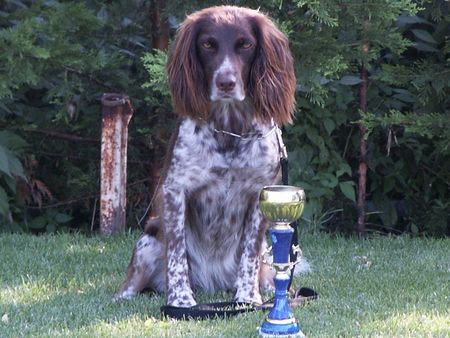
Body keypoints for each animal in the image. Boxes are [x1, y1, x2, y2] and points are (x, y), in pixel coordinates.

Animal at [115, 5, 302, 308]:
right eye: (207, 44)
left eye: (246, 45)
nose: (226, 82)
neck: (229, 129)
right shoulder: (175, 191)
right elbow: (177, 254)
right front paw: (180, 301)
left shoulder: (259, 194)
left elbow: (249, 254)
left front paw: (247, 297)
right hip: (148, 240)